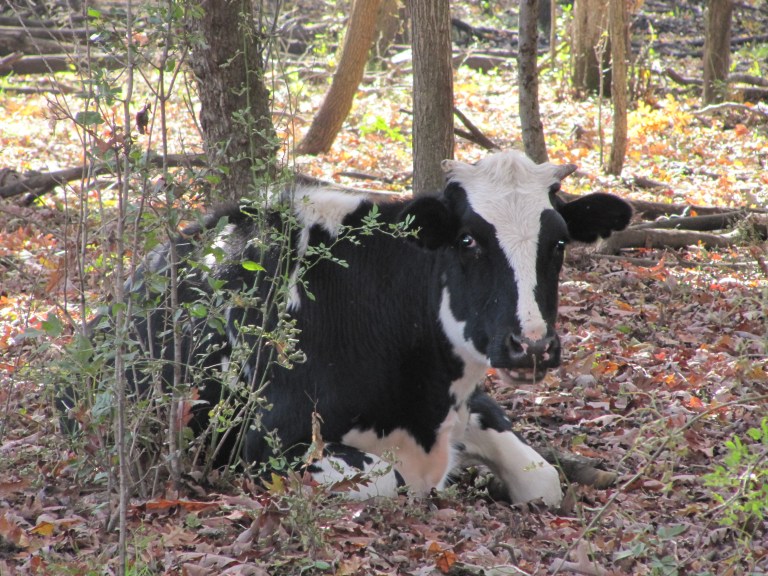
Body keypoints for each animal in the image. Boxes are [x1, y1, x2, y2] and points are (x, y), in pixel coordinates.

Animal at [63, 150, 632, 506]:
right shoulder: (267, 443)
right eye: (468, 240)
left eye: (558, 242)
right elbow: (387, 480)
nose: (531, 346)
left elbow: (543, 479)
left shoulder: (468, 407)